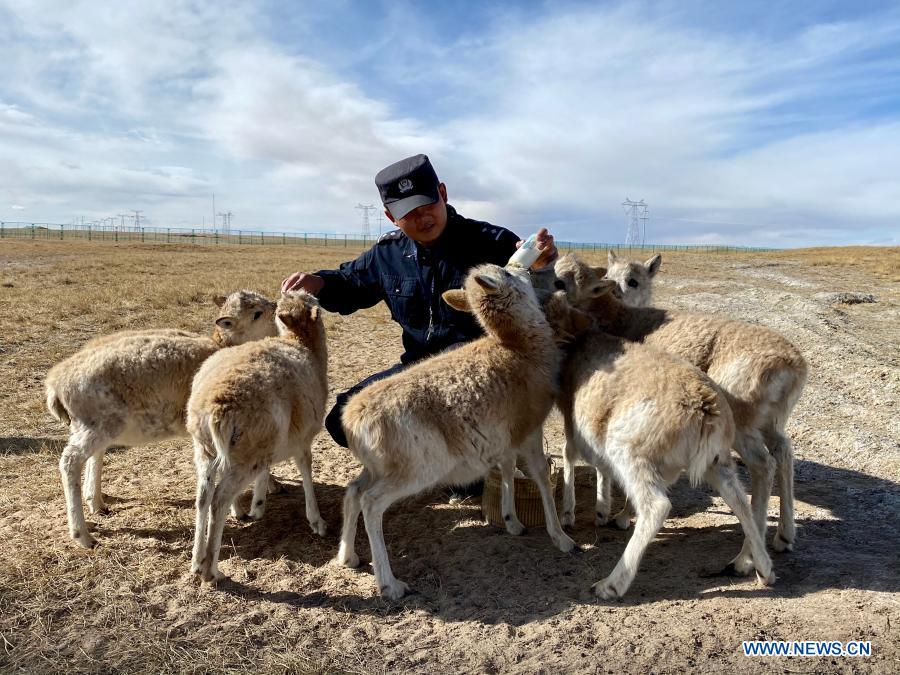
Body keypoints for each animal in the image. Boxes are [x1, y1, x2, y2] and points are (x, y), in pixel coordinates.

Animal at [45, 292, 276, 548]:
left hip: (94, 427)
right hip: (95, 425)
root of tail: (55, 383)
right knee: (70, 462)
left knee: (93, 455)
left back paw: (96, 503)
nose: (275, 305)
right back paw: (83, 535)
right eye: (256, 313)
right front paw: (249, 503)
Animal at [188, 290, 328, 580]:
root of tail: (216, 405)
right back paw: (211, 571)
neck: (302, 344)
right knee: (219, 500)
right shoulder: (302, 437)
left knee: (203, 497)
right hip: (245, 456)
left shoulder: (272, 444)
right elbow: (306, 471)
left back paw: (196, 560)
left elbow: (267, 473)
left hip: (206, 450)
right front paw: (317, 521)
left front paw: (258, 505)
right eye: (315, 303)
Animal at [334, 264, 572, 604]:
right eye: (505, 273)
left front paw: (512, 523)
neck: (519, 347)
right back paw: (391, 585)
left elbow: (508, 471)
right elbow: (540, 476)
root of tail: (353, 417)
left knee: (353, 491)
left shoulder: (506, 439)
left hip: (376, 469)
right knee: (371, 502)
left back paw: (348, 557)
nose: (521, 267)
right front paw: (562, 539)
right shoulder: (530, 431)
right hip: (415, 473)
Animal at [544, 294, 776, 600]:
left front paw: (574, 514)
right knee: (740, 502)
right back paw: (762, 570)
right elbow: (598, 466)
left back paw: (609, 585)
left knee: (656, 506)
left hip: (630, 453)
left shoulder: (575, 427)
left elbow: (571, 455)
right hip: (718, 463)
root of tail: (704, 408)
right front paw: (602, 511)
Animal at [556, 256, 808, 556]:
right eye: (609, 275)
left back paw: (745, 557)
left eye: (633, 280)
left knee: (763, 465)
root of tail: (793, 366)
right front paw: (609, 511)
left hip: (743, 423)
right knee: (784, 452)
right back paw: (784, 536)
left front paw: (619, 516)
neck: (624, 318)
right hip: (770, 421)